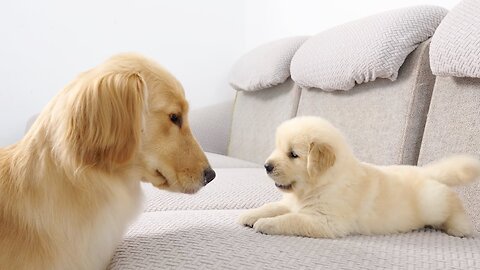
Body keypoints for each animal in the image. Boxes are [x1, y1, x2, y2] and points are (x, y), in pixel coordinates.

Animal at [240, 116, 480, 238]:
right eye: (278, 148)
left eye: (293, 154)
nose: (266, 166)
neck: (321, 183)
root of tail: (425, 170)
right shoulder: (291, 203)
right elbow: (273, 207)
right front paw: (251, 215)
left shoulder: (326, 221)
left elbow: (292, 219)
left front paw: (266, 224)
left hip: (434, 203)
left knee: (453, 205)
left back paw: (459, 228)